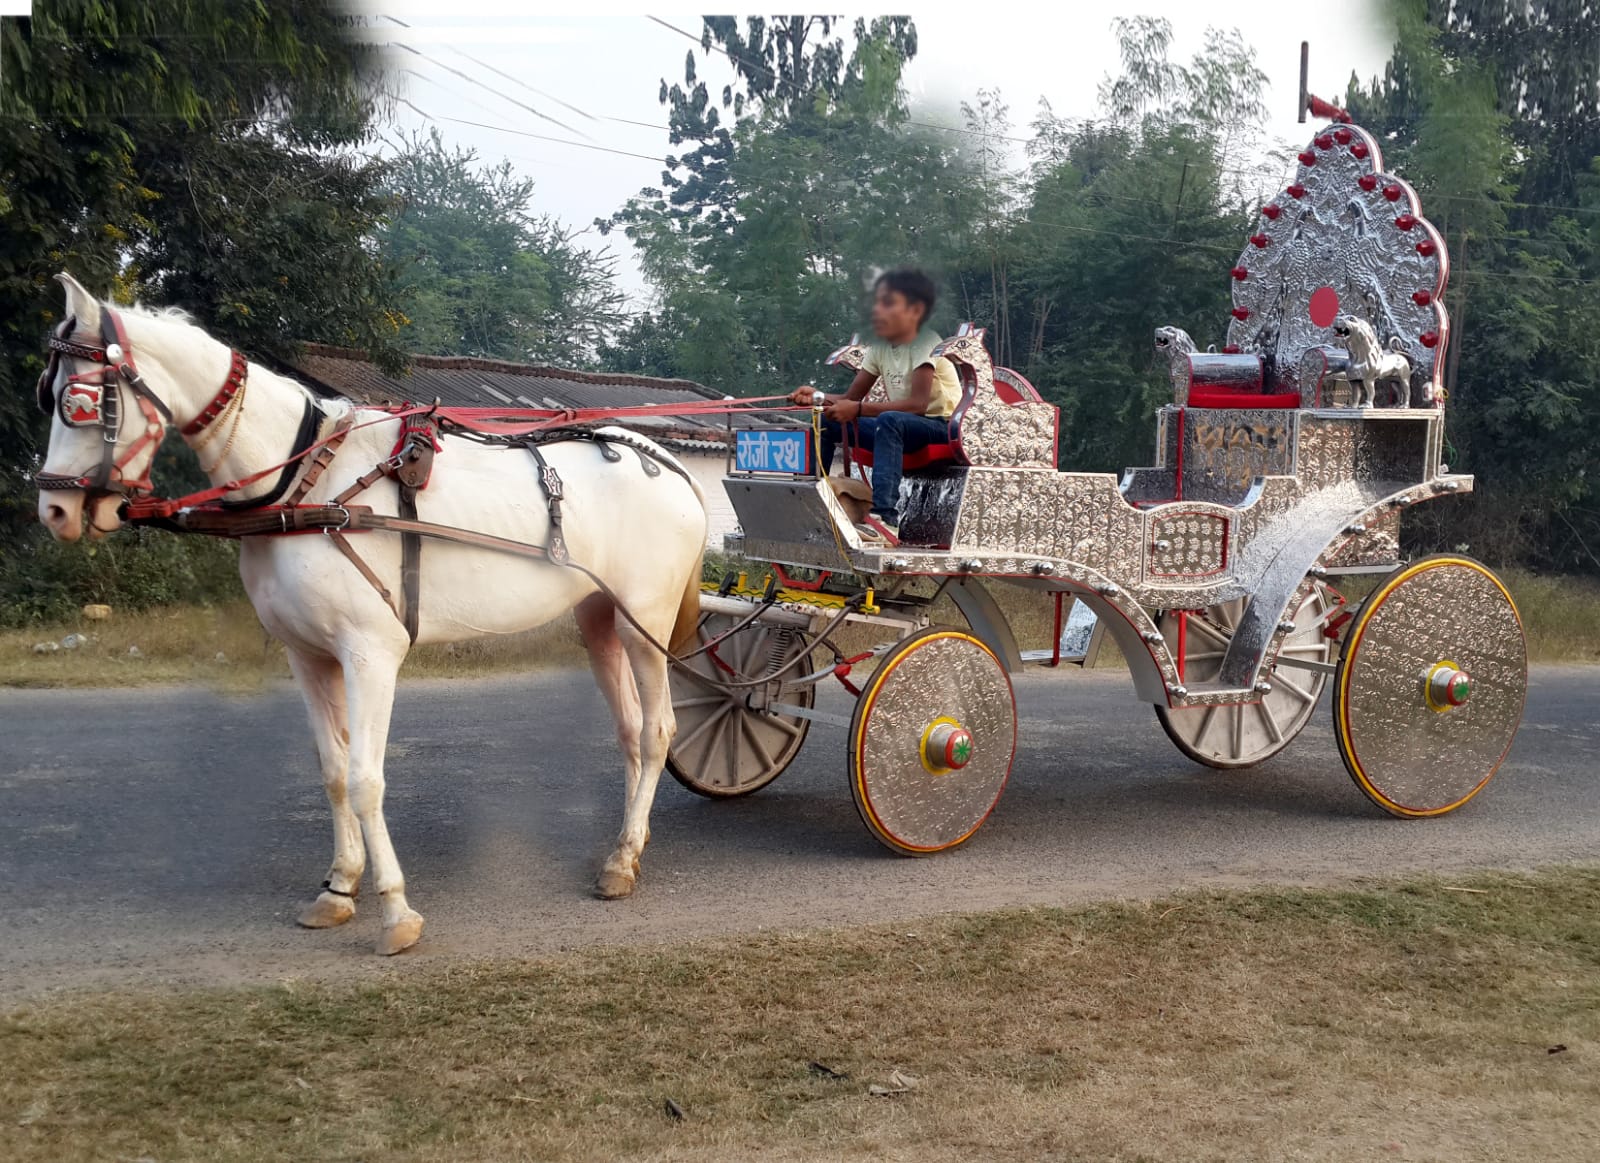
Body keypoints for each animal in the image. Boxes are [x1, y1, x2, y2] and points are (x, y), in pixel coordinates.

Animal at [34, 273, 707, 955]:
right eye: (51, 394)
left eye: (79, 402)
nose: (54, 512)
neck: (304, 486)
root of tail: (670, 464)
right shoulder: (308, 656)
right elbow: (334, 771)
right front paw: (338, 888)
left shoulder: (369, 653)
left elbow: (365, 778)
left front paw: (395, 910)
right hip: (599, 619)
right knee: (629, 729)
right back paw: (628, 846)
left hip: (643, 621)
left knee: (657, 732)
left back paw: (623, 858)